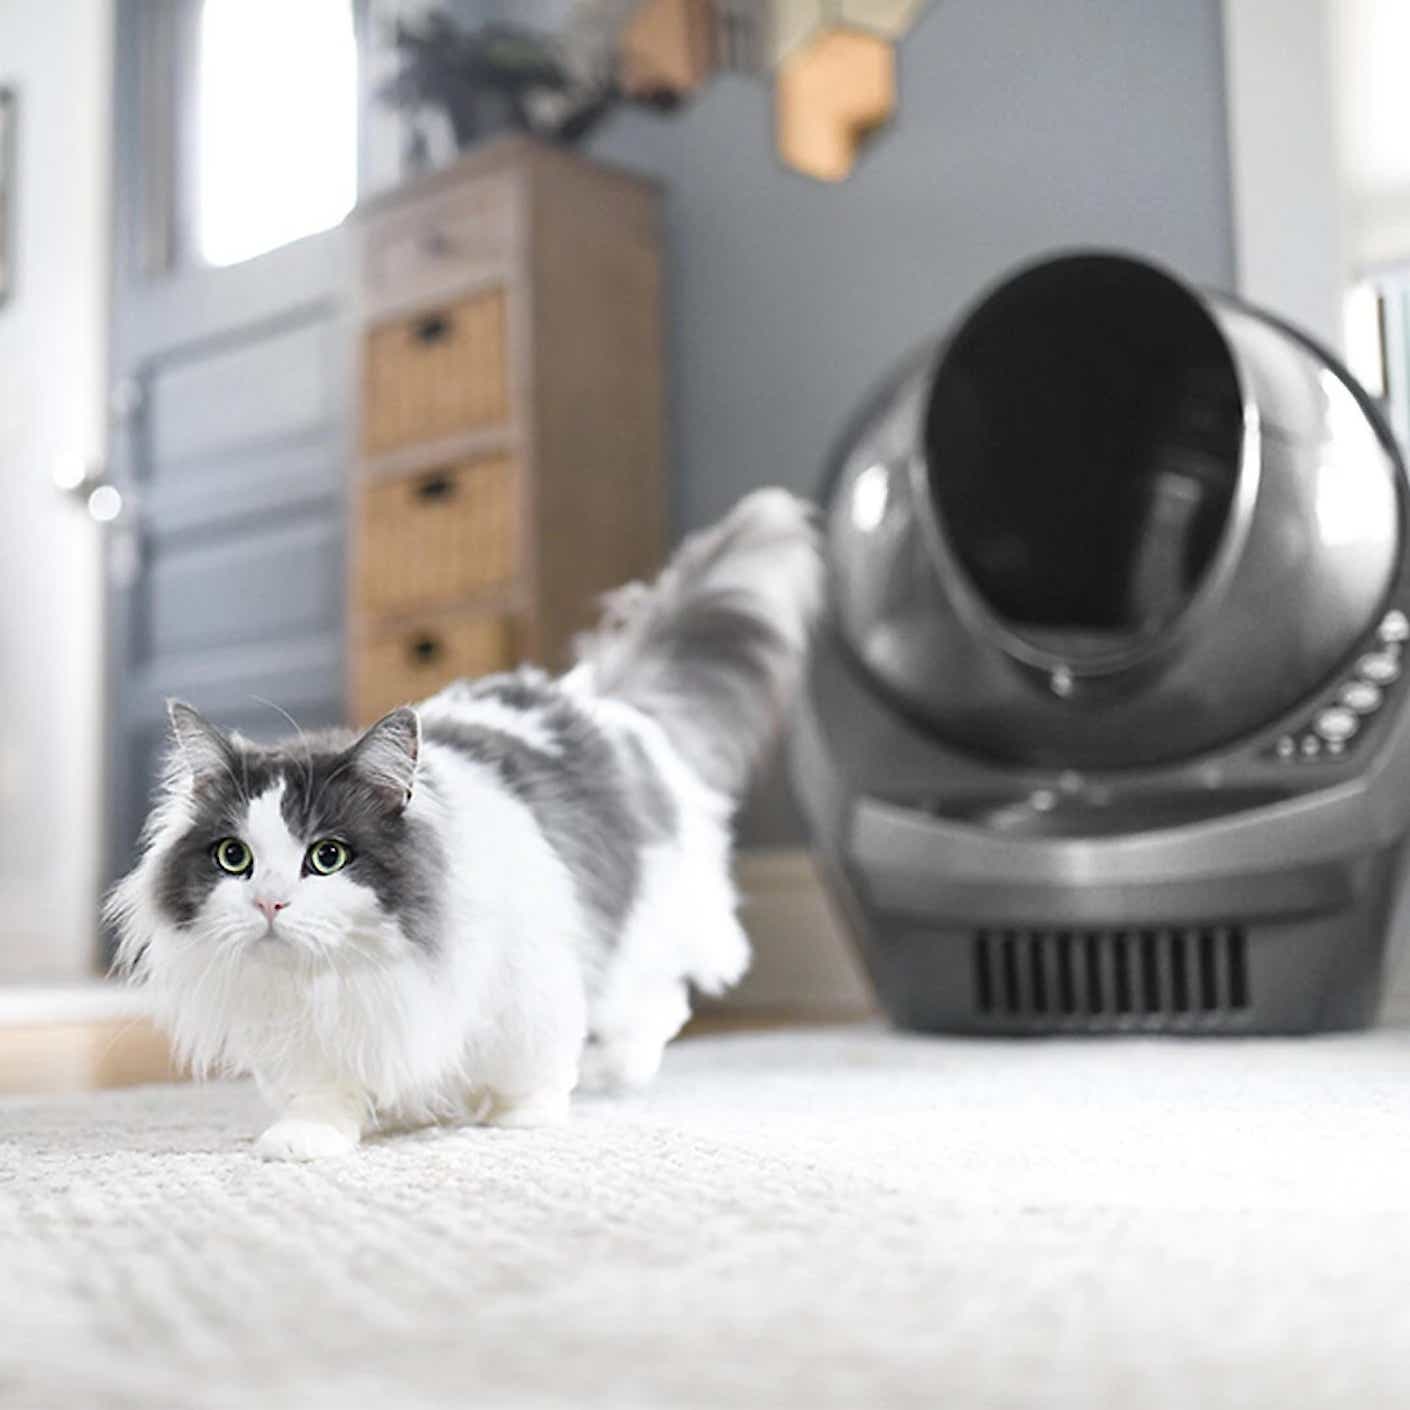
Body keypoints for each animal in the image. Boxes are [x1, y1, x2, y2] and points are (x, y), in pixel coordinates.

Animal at [109, 490, 823, 1161]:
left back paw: (610, 1071)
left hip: (646, 930)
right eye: (233, 858)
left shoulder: (526, 984)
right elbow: (322, 1095)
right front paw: (304, 1140)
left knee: (658, 1003)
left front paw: (518, 1120)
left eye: (327, 856)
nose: (269, 903)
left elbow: (529, 1070)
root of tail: (596, 701)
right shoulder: (311, 1038)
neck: (348, 979)